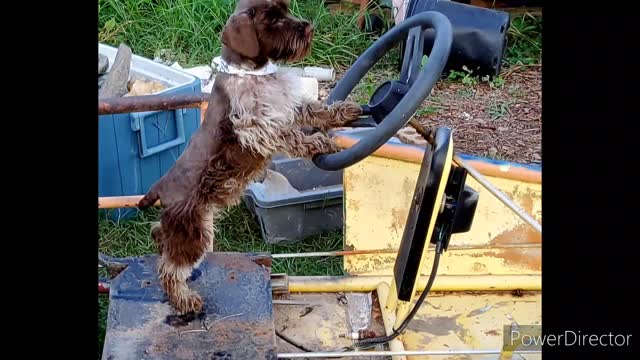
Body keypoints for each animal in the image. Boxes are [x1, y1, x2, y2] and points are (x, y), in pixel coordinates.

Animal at [138, 0, 362, 316]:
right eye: (273, 20)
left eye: (286, 11)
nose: (309, 28)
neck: (254, 74)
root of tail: (160, 188)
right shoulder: (257, 128)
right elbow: (290, 136)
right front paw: (318, 142)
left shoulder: (286, 109)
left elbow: (313, 110)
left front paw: (341, 113)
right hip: (194, 233)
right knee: (169, 270)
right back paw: (186, 300)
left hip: (184, 228)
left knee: (160, 236)